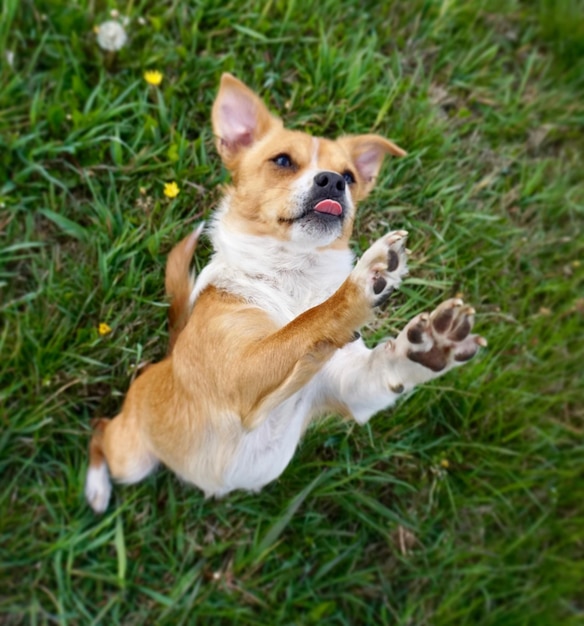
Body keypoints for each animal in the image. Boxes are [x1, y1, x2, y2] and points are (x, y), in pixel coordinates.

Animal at [84, 74, 486, 512]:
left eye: (349, 175)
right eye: (282, 161)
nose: (333, 181)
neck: (294, 279)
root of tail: (167, 355)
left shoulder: (350, 388)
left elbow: (376, 359)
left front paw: (431, 344)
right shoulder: (242, 374)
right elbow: (309, 322)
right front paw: (364, 280)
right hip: (131, 459)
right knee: (99, 428)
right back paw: (97, 485)